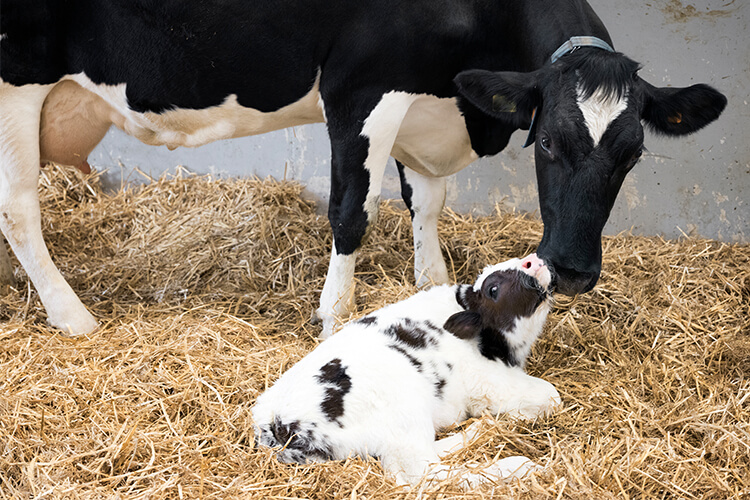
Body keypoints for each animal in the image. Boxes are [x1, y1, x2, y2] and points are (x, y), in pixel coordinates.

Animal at [0, 0, 728, 336]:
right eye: (546, 142)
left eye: (633, 153)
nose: (574, 271)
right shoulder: (361, 88)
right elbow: (352, 212)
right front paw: (333, 318)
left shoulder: (431, 106)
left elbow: (427, 211)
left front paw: (435, 291)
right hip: (14, 83)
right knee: (19, 208)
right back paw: (72, 316)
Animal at [256, 254, 560, 484]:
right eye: (492, 290)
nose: (533, 260)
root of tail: (275, 424)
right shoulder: (488, 381)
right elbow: (551, 396)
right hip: (403, 417)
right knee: (425, 472)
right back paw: (518, 465)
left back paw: (480, 429)